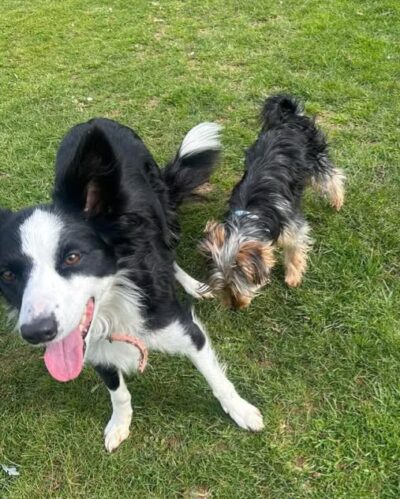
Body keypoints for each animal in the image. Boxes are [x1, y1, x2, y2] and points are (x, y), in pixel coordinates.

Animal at [0, 118, 264, 452]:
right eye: (8, 275)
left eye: (73, 257)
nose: (37, 332)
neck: (115, 304)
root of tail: (95, 120)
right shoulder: (94, 348)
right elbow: (118, 392)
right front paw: (120, 424)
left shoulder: (186, 329)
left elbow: (216, 378)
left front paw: (241, 410)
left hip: (163, 214)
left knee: (169, 253)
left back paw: (191, 283)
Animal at [200, 94, 345, 309]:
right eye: (223, 288)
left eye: (238, 284)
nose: (235, 307)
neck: (252, 215)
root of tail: (288, 118)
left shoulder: (294, 228)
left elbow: (295, 251)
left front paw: (293, 277)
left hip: (316, 157)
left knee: (333, 176)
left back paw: (337, 200)